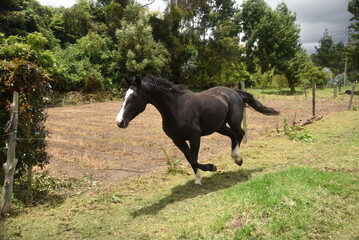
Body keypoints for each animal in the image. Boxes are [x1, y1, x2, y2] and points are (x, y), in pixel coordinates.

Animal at [116, 74, 280, 185]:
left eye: (134, 96)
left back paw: (238, 159)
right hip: (220, 127)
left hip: (233, 122)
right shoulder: (178, 140)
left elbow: (194, 158)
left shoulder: (195, 136)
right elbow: (190, 159)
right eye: (124, 96)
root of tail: (234, 92)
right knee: (233, 136)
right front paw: (198, 179)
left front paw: (212, 167)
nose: (119, 121)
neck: (176, 108)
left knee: (240, 133)